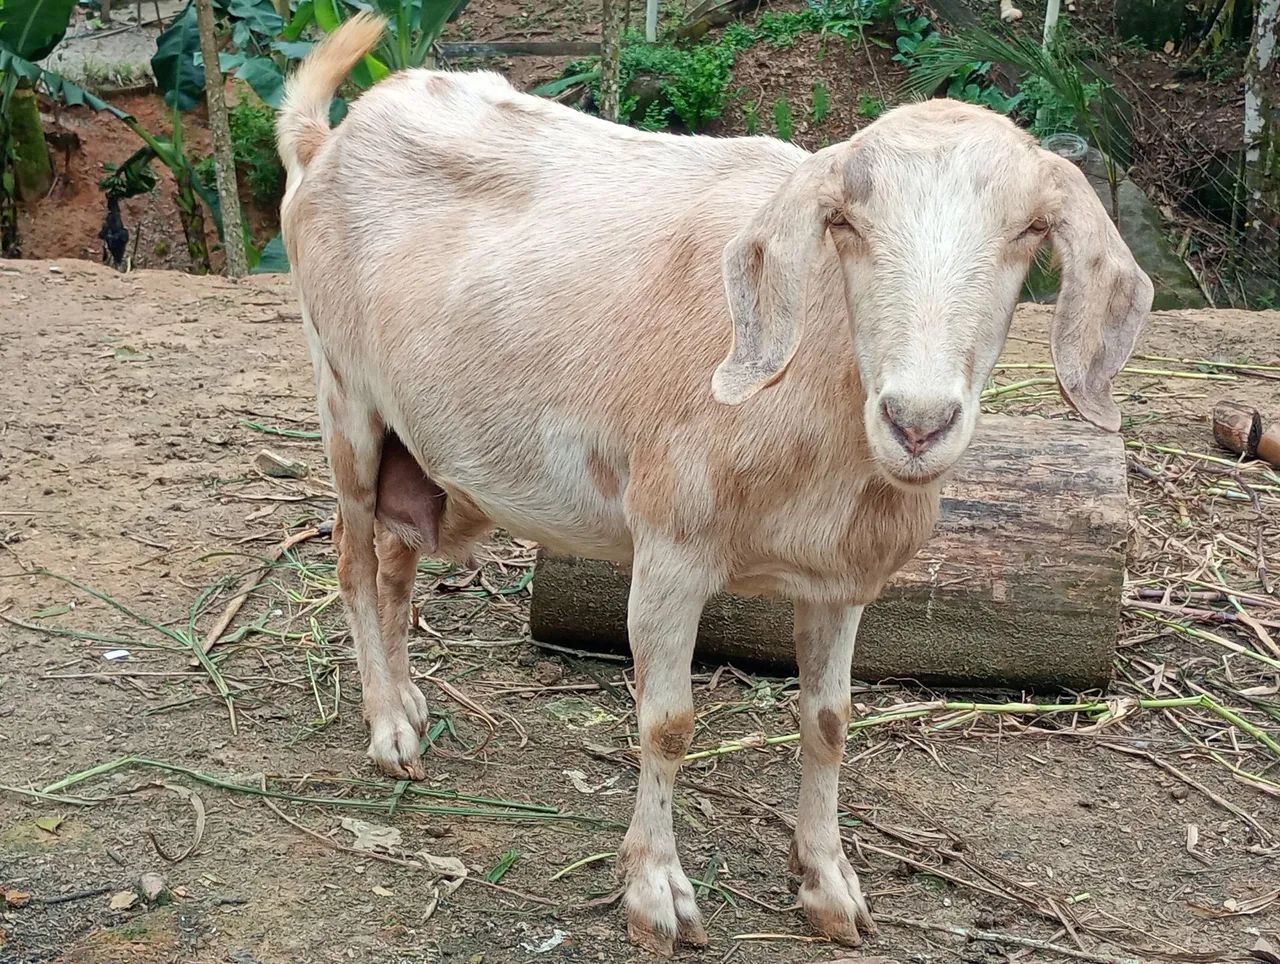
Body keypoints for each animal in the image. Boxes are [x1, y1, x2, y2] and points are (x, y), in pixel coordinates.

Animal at [277, 15, 1151, 954]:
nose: (917, 423)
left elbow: (830, 721)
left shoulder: (838, 579)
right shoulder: (669, 550)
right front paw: (656, 896)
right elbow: (667, 725)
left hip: (424, 450)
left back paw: (408, 704)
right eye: (846, 223)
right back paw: (387, 729)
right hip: (345, 400)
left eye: (1029, 232)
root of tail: (326, 141)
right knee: (352, 562)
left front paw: (828, 887)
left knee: (399, 563)